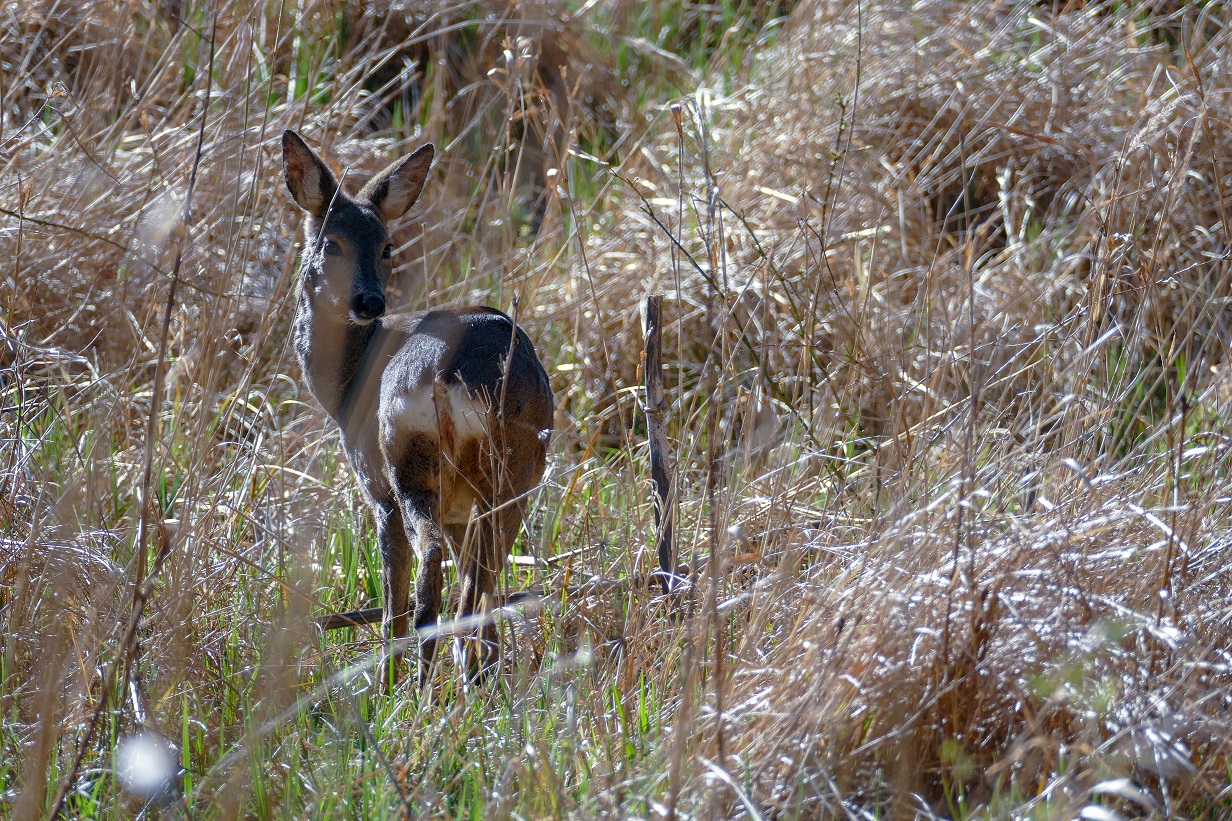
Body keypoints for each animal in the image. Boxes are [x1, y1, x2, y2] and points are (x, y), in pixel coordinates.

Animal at [282, 129, 556, 685]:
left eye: (387, 245)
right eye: (330, 243)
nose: (369, 301)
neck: (344, 386)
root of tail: (451, 377)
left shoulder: (375, 486)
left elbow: (394, 593)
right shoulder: (460, 509)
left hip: (411, 459)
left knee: (431, 571)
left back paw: (416, 682)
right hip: (507, 471)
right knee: (481, 580)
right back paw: (475, 673)